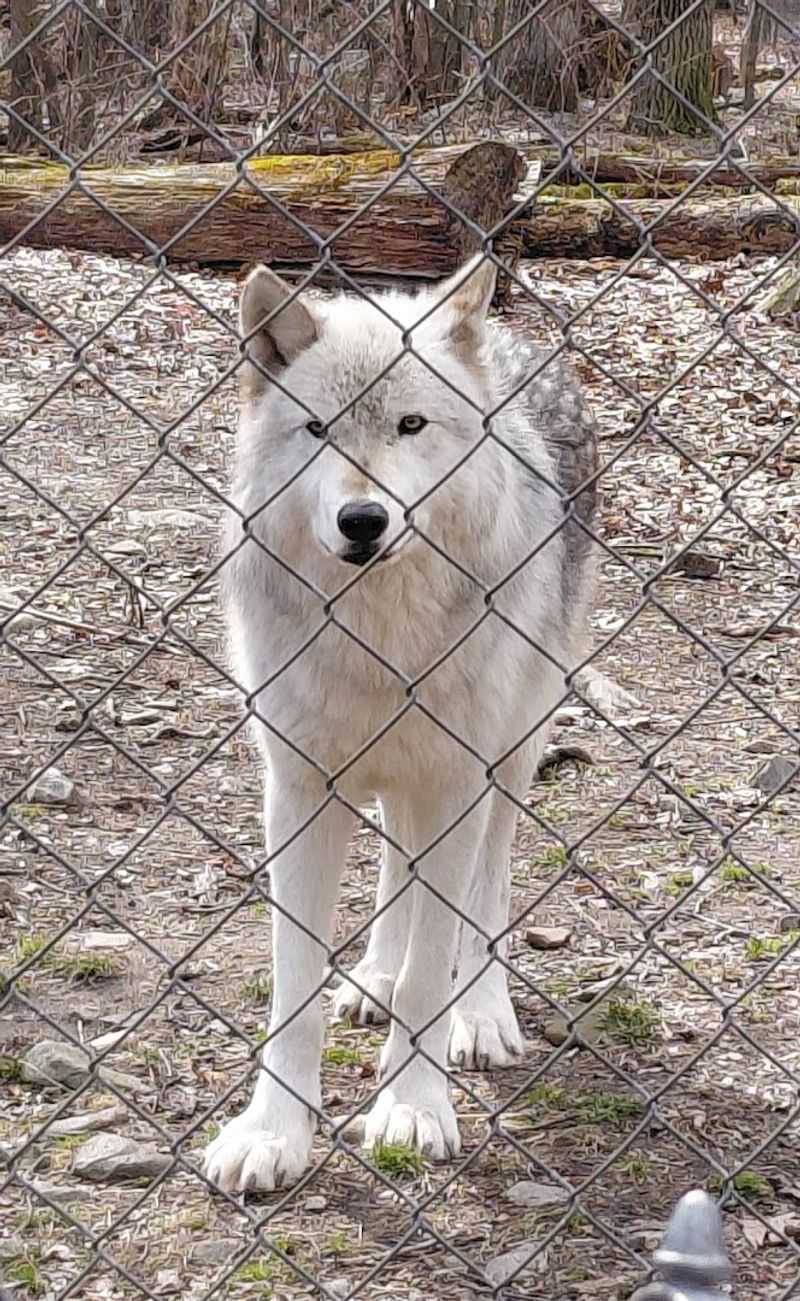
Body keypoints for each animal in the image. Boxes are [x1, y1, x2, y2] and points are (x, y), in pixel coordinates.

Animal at [203, 254, 598, 1194]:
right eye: (316, 429)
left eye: (411, 425)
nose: (363, 518)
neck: (379, 628)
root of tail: (508, 338)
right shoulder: (300, 788)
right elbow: (294, 984)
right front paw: (273, 1132)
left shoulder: (458, 779)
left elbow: (433, 967)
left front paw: (413, 1107)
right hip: (390, 770)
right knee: (397, 859)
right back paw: (374, 974)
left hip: (513, 748)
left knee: (485, 892)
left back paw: (480, 1013)